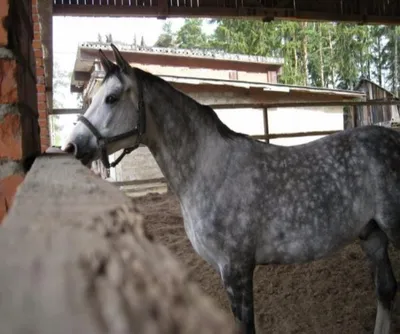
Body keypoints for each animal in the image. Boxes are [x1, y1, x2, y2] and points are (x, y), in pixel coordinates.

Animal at [64, 44, 400, 334]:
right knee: (385, 291)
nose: (72, 147)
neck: (209, 169)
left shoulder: (236, 269)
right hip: (372, 235)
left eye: (112, 97)